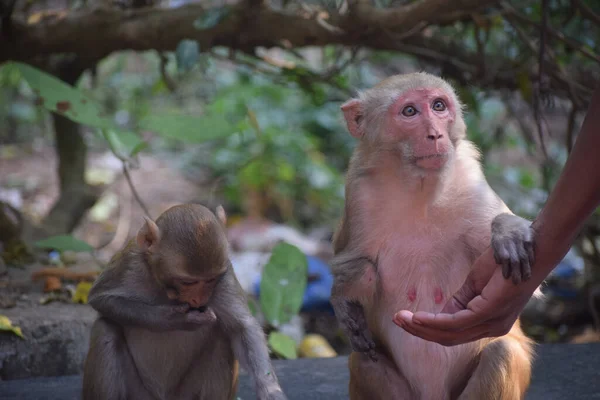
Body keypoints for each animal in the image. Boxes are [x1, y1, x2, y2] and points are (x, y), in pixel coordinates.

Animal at [83, 205, 288, 398]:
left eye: (211, 279)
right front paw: (173, 319)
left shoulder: (225, 274)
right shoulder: (129, 263)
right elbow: (102, 299)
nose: (199, 299)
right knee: (106, 329)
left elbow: (242, 328)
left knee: (222, 337)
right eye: (187, 282)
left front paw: (271, 390)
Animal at [330, 72, 536, 400]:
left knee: (500, 353)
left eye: (439, 106)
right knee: (364, 361)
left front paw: (507, 230)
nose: (435, 135)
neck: (420, 188)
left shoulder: (471, 180)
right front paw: (345, 297)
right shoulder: (359, 192)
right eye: (410, 111)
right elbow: (350, 262)